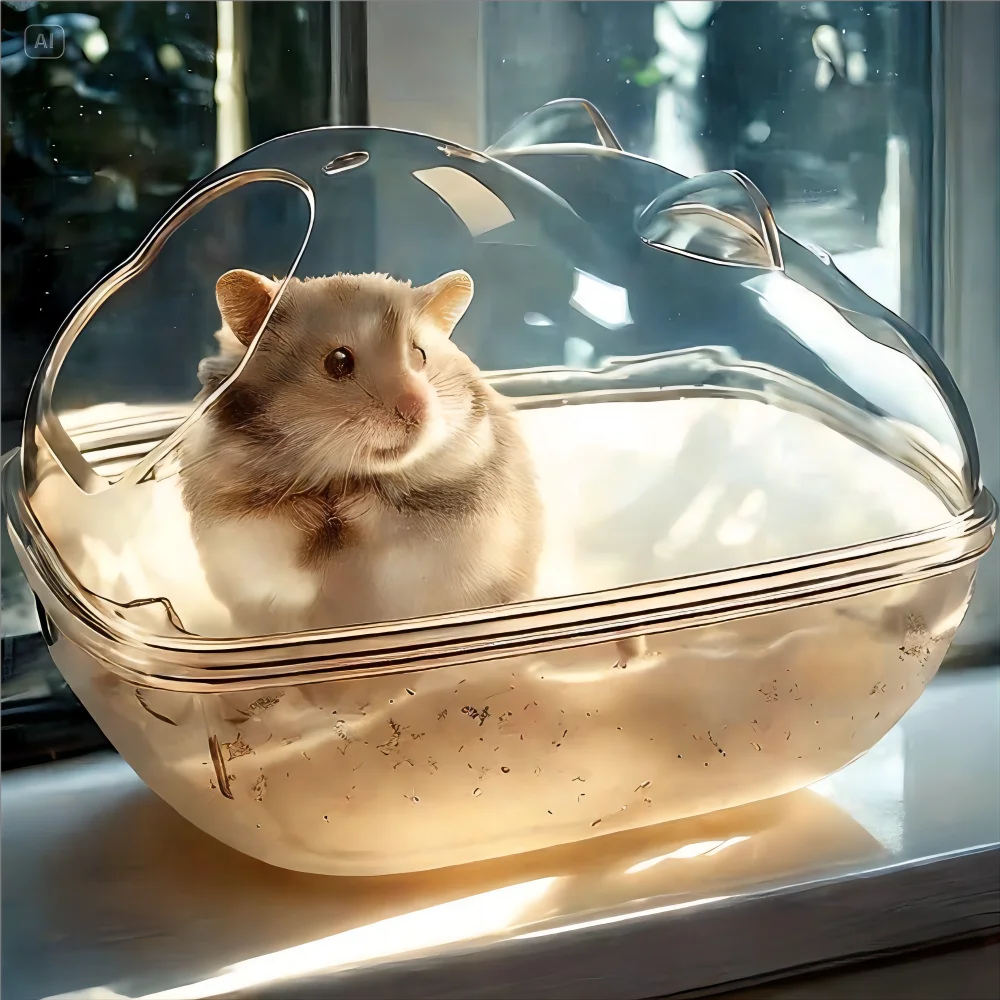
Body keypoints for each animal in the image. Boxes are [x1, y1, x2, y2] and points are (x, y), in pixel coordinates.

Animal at [179, 268, 543, 637]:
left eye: (421, 355)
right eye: (338, 362)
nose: (418, 408)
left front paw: (351, 508)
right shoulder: (242, 521)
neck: (347, 476)